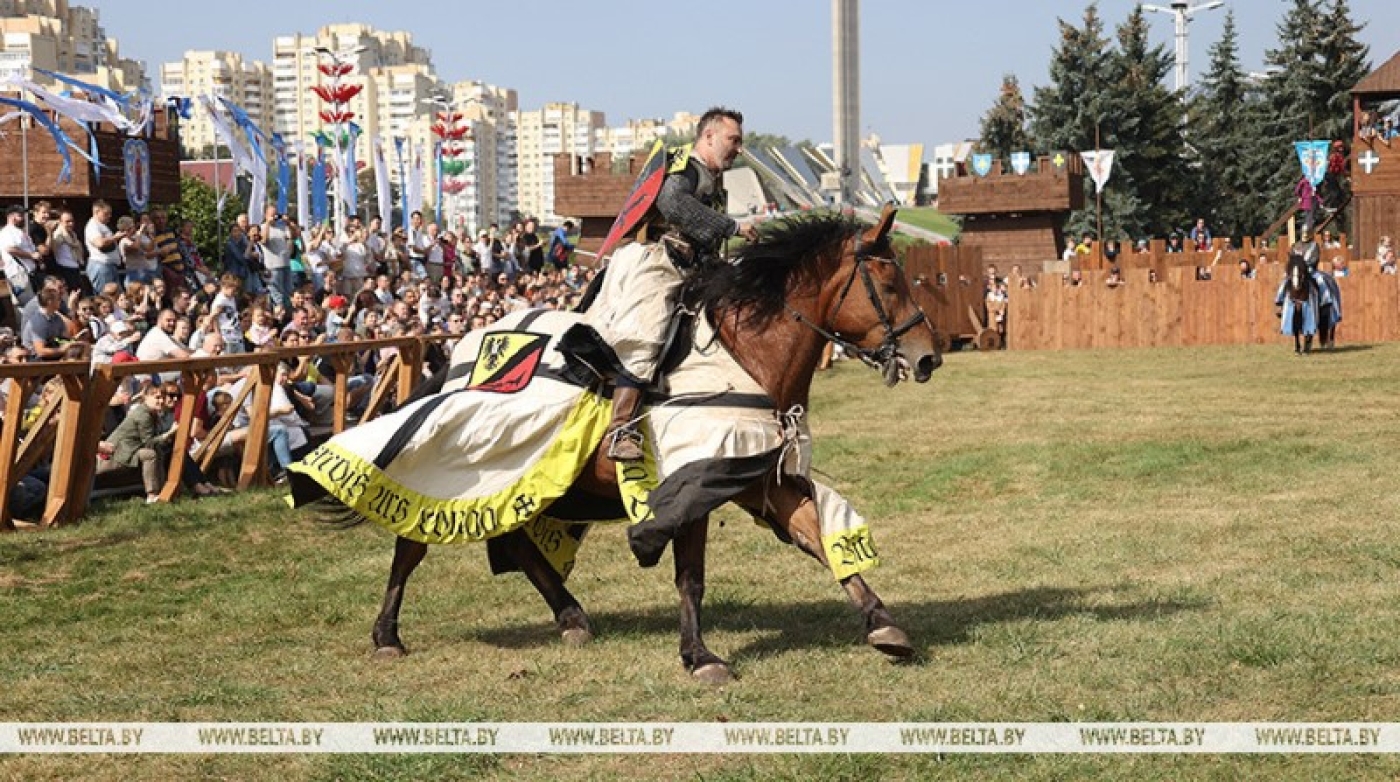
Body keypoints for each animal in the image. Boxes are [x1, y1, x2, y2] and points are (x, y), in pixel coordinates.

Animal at [337, 208, 935, 685]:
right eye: (889, 281)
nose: (927, 356)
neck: (745, 356)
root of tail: (461, 353)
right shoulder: (695, 485)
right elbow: (691, 578)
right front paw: (701, 657)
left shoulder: (761, 476)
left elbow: (819, 538)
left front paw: (883, 625)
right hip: (458, 459)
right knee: (412, 542)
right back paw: (387, 636)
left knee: (513, 541)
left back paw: (571, 617)